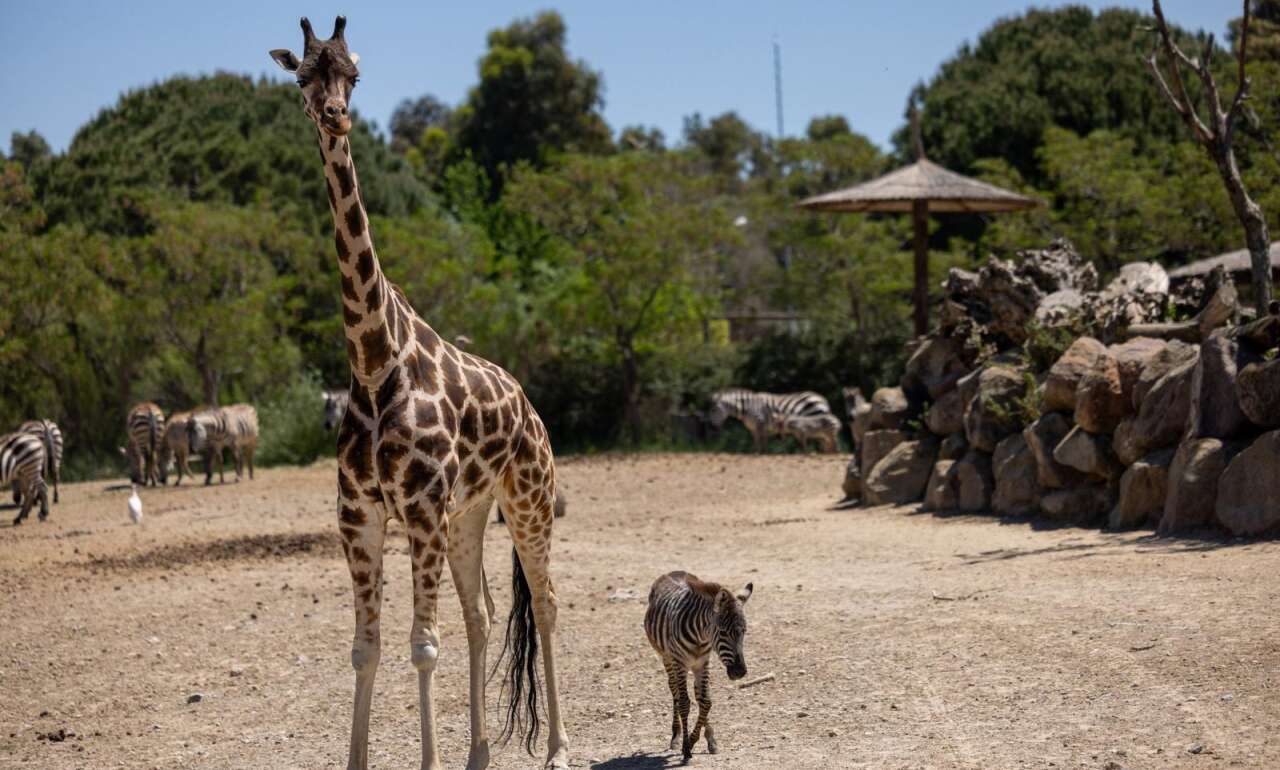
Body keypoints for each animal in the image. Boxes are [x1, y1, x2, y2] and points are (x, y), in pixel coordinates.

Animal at [644, 571, 753, 761]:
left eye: (744, 631)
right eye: (723, 632)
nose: (740, 672)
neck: (701, 637)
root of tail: (672, 572)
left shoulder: (702, 663)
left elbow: (706, 701)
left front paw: (697, 740)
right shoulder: (680, 662)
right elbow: (684, 703)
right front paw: (686, 748)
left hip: (694, 666)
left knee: (698, 695)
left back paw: (708, 738)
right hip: (667, 658)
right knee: (674, 690)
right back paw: (676, 736)